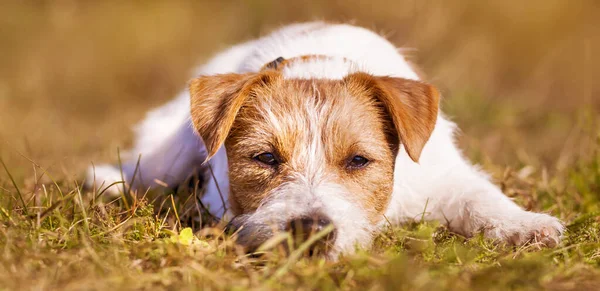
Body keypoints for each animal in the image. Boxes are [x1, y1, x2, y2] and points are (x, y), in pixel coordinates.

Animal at [86, 22, 564, 260]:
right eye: (265, 157)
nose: (311, 231)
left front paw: (526, 226)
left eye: (358, 161)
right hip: (167, 150)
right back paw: (107, 181)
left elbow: (480, 198)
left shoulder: (443, 175)